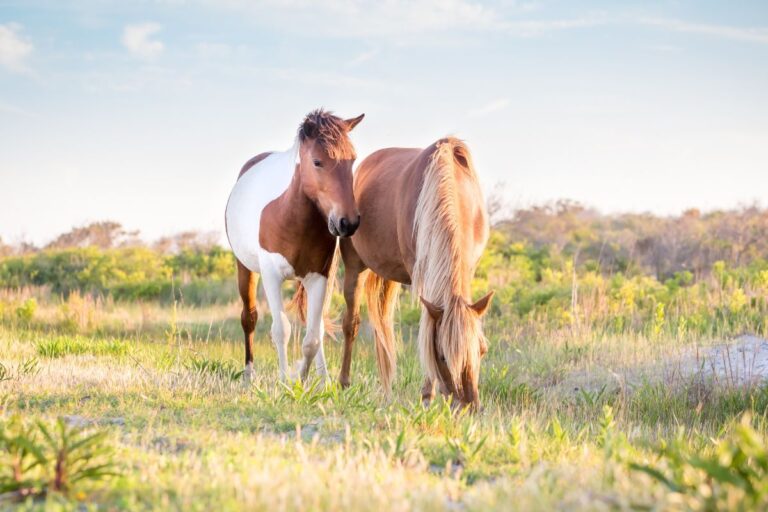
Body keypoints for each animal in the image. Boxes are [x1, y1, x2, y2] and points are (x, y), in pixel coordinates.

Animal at [225, 109, 364, 383]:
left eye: (352, 161)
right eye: (318, 162)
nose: (348, 222)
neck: (290, 215)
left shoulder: (318, 277)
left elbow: (313, 338)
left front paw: (305, 378)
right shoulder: (271, 276)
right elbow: (281, 330)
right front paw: (284, 380)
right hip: (245, 269)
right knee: (249, 318)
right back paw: (248, 375)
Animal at [338, 137, 493, 409]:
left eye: (482, 350)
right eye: (442, 356)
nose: (468, 407)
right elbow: (426, 330)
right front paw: (426, 397)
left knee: (383, 329)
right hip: (355, 266)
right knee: (351, 323)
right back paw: (344, 384)